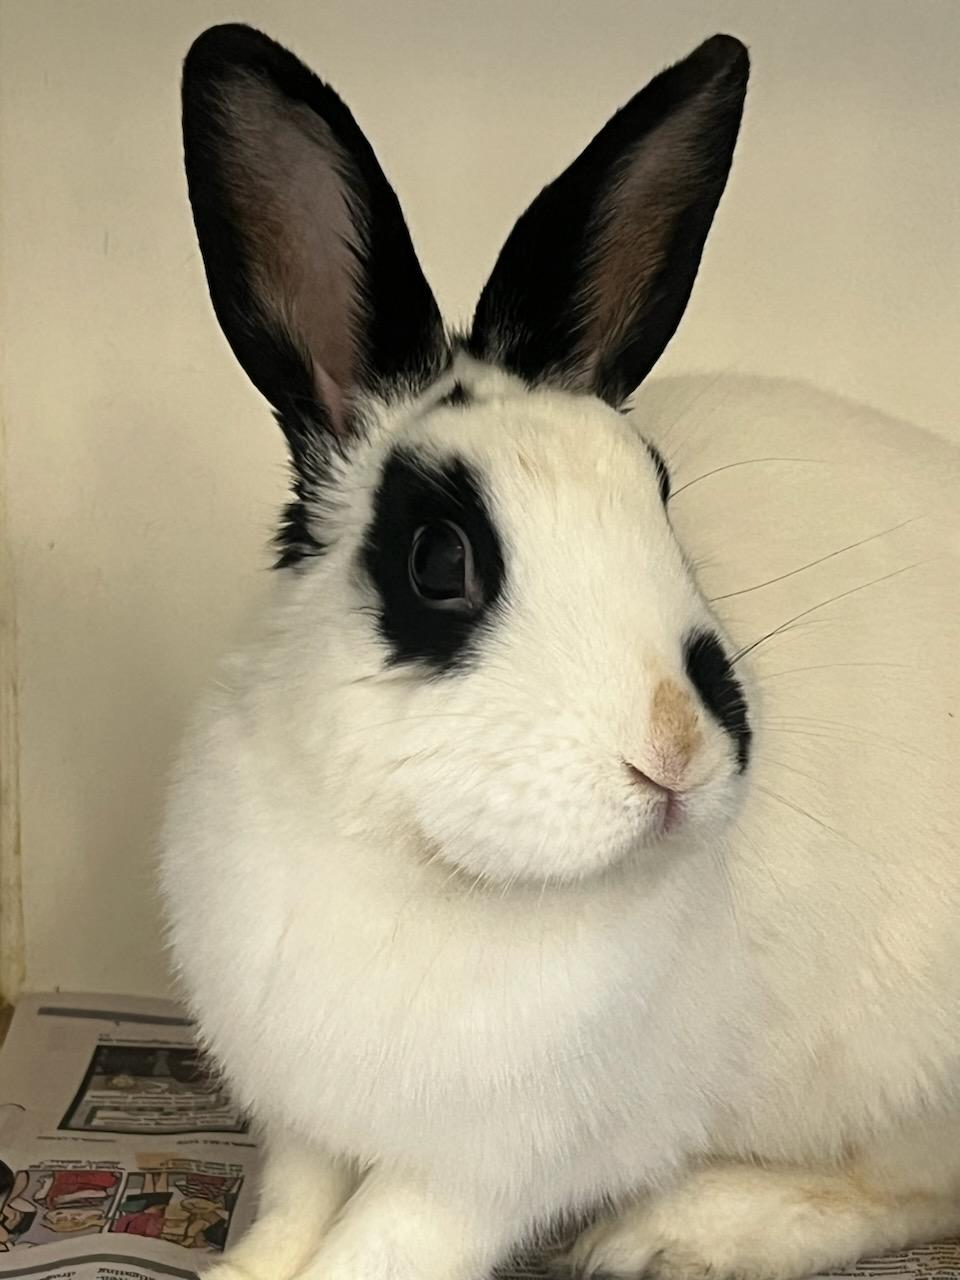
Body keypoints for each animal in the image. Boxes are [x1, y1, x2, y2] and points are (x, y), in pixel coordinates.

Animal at [160, 21, 960, 1280]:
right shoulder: (306, 1118)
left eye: (660, 492)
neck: (412, 857)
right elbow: (289, 1215)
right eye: (440, 558)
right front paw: (237, 1268)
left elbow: (372, 1247)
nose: (675, 747)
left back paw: (682, 1229)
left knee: (916, 1186)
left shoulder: (482, 1169)